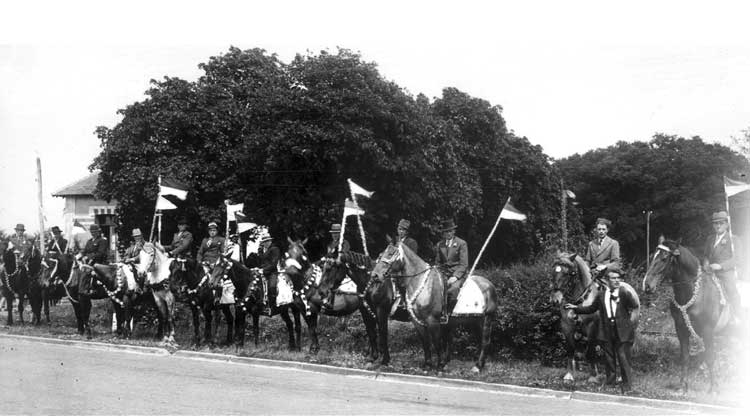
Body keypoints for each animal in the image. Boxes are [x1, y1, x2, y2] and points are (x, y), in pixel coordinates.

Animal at [374, 240, 500, 370]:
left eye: (390, 254)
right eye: (381, 254)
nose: (375, 275)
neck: (422, 283)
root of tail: (489, 284)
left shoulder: (432, 320)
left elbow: (436, 342)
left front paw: (440, 365)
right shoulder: (417, 321)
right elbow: (425, 342)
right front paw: (428, 364)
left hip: (487, 318)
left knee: (485, 341)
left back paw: (478, 366)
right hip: (476, 321)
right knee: (480, 340)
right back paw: (479, 363)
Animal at [552, 250, 604, 384]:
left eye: (571, 273)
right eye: (553, 270)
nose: (555, 299)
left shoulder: (592, 328)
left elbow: (590, 352)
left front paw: (593, 376)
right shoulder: (567, 327)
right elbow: (571, 350)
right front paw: (569, 375)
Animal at [640, 239, 728, 392]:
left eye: (664, 258)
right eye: (652, 256)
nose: (647, 286)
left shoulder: (708, 331)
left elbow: (710, 357)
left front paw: (713, 388)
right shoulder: (681, 329)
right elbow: (685, 356)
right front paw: (683, 385)